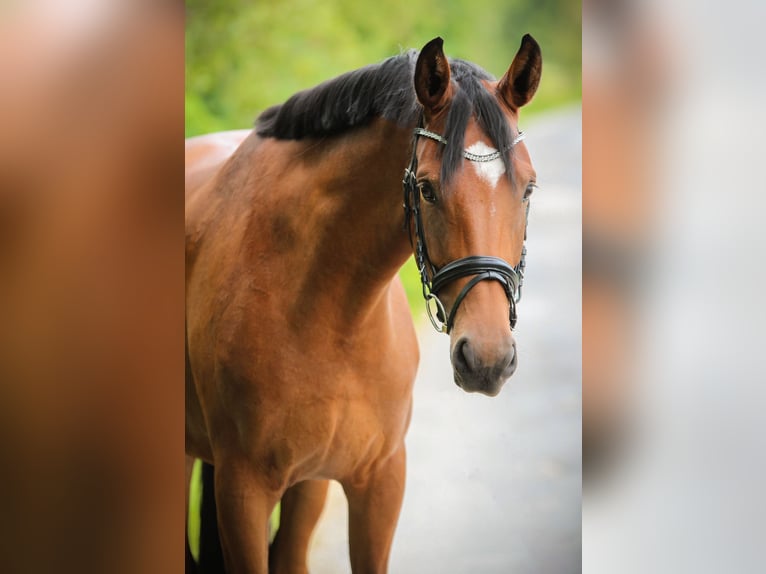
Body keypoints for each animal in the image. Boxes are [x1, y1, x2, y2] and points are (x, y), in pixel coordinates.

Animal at [188, 36, 540, 574]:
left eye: (528, 187)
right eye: (426, 189)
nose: (487, 359)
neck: (330, 317)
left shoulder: (380, 481)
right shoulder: (241, 491)